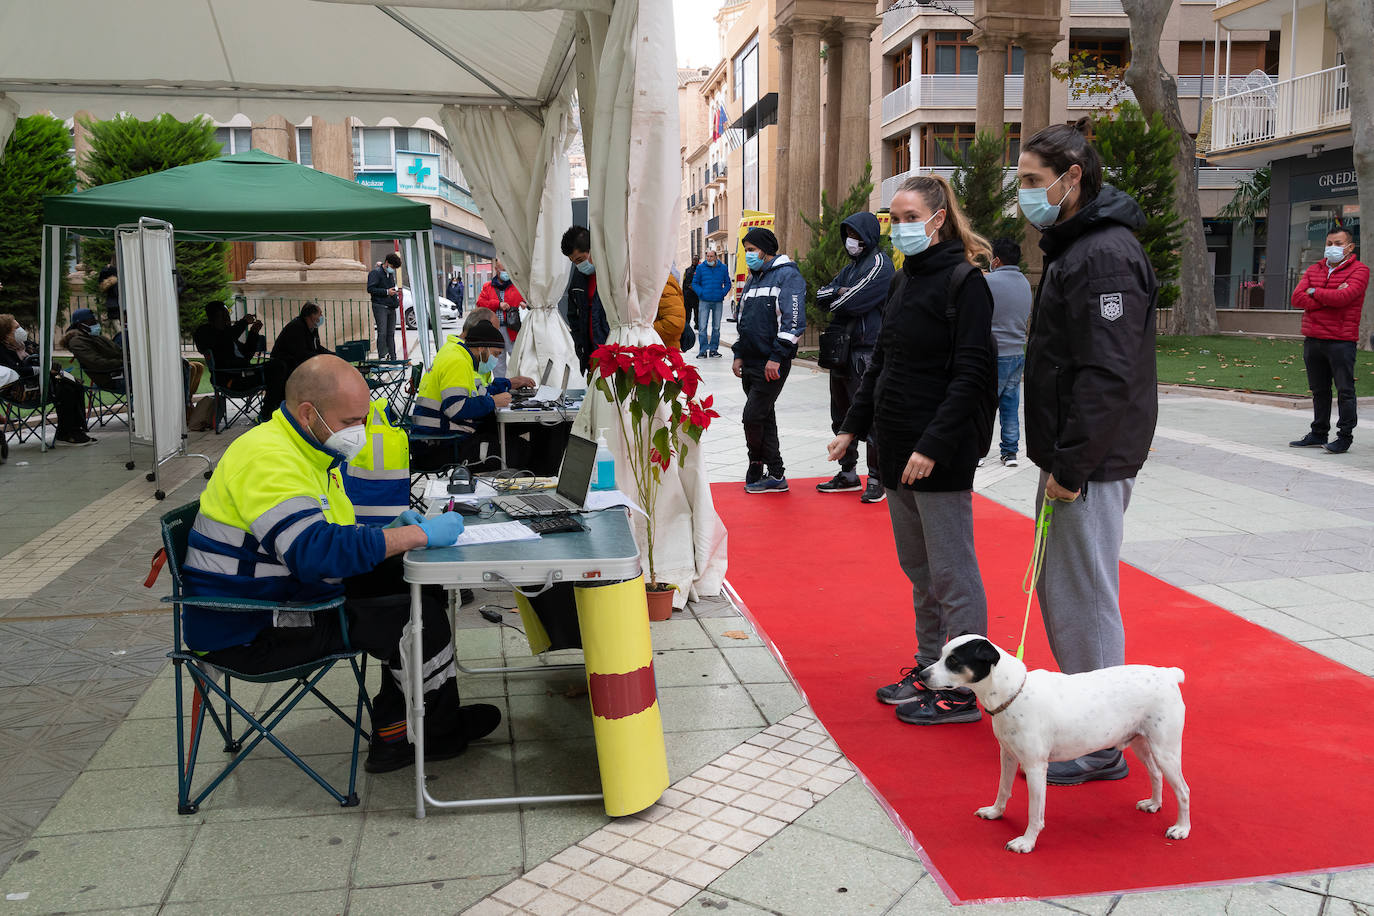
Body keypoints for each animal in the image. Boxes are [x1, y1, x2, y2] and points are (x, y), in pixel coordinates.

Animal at [923, 634, 1192, 856]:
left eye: (954, 661)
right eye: (942, 654)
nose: (922, 675)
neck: (1013, 693)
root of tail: (1168, 674)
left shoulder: (1035, 768)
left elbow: (1035, 812)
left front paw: (1027, 842)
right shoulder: (1007, 755)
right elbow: (1003, 789)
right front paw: (995, 812)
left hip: (1166, 751)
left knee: (1183, 790)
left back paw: (1181, 828)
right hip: (1141, 743)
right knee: (1156, 774)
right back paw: (1154, 804)